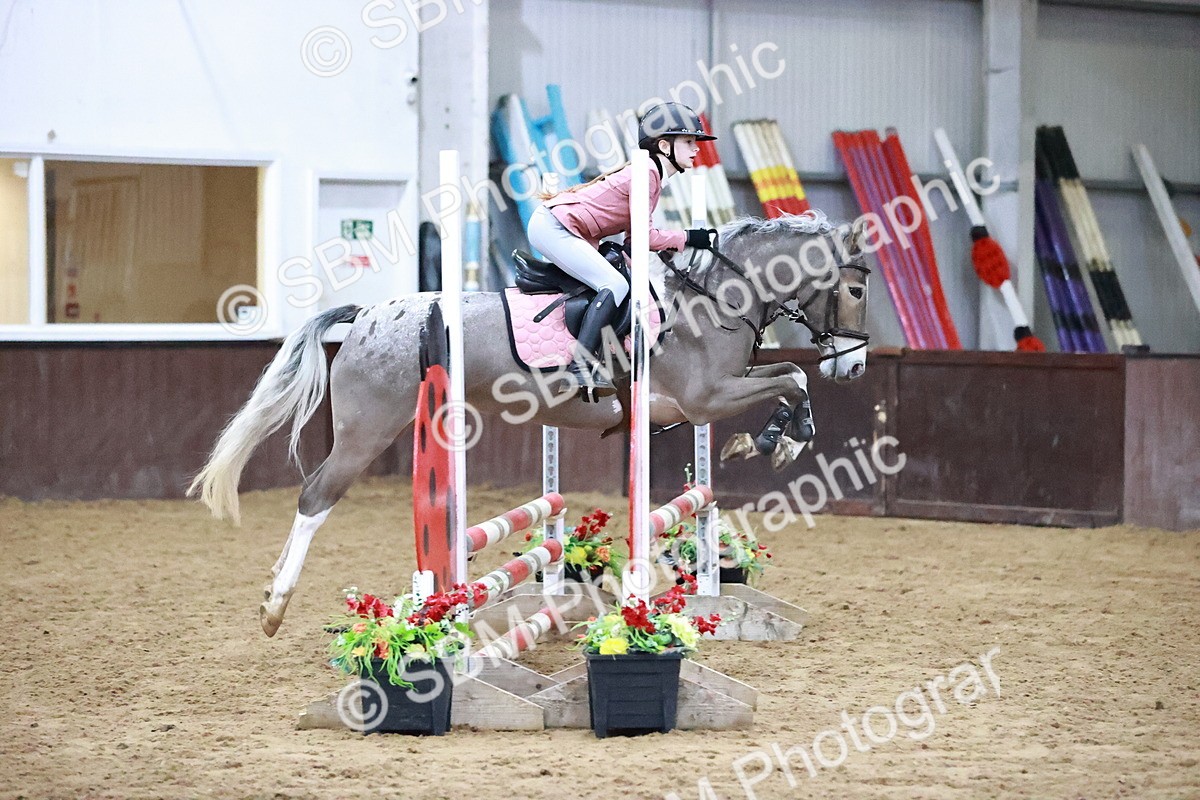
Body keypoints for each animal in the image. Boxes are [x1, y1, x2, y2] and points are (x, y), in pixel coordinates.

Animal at [189, 209, 871, 636]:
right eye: (858, 290)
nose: (857, 365)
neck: (712, 296)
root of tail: (367, 317)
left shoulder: (718, 391)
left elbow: (792, 373)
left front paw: (774, 439)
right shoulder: (703, 399)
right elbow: (792, 378)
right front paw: (776, 441)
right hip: (368, 431)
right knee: (316, 495)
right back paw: (276, 607)